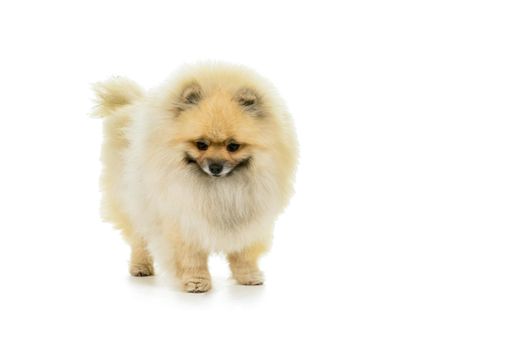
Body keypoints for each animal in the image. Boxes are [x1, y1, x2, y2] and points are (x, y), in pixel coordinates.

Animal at [92, 63, 296, 292]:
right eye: (201, 144)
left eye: (233, 146)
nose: (215, 167)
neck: (221, 190)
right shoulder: (182, 222)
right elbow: (191, 257)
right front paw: (197, 281)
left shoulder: (250, 220)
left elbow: (244, 254)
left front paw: (249, 276)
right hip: (135, 203)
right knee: (139, 239)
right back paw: (141, 267)